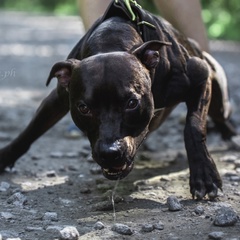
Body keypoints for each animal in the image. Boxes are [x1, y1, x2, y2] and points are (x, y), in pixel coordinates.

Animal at [0, 0, 236, 199]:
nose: (110, 153)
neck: (111, 42)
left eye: (132, 103)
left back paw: (228, 133)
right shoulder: (58, 99)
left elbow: (193, 127)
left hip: (216, 96)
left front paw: (204, 175)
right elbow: (30, 131)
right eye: (83, 108)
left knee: (219, 116)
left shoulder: (199, 76)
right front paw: (5, 156)